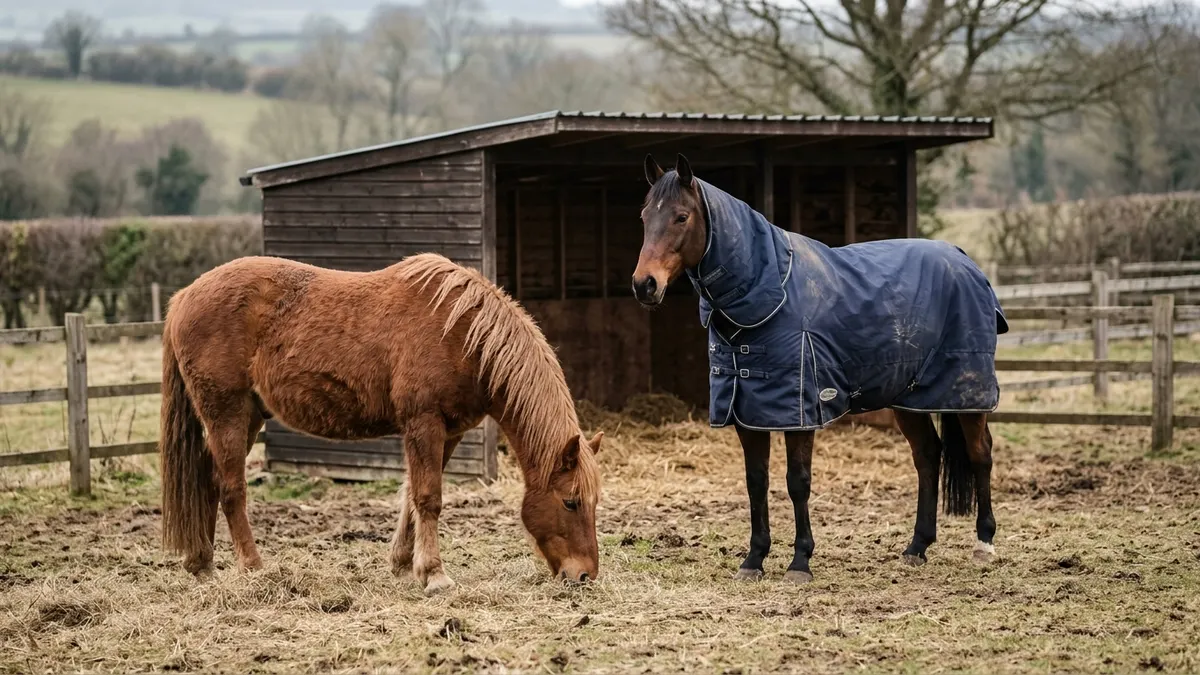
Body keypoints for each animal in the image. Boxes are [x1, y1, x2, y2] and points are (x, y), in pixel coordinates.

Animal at [158, 253, 603, 595]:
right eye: (570, 501)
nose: (584, 575)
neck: (463, 336)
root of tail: (182, 298)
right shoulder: (424, 423)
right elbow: (429, 497)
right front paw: (435, 576)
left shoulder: (450, 431)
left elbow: (411, 496)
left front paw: (405, 564)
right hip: (227, 415)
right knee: (231, 489)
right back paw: (252, 567)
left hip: (247, 418)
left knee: (207, 481)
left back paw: (202, 563)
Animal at [632, 154, 1007, 583]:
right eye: (645, 216)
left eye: (681, 217)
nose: (644, 285)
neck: (767, 291)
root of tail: (965, 261)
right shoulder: (747, 412)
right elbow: (756, 482)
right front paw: (753, 560)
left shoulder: (801, 412)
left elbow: (797, 483)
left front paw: (800, 562)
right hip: (908, 398)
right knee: (928, 456)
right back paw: (917, 547)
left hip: (966, 393)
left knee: (980, 454)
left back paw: (983, 543)